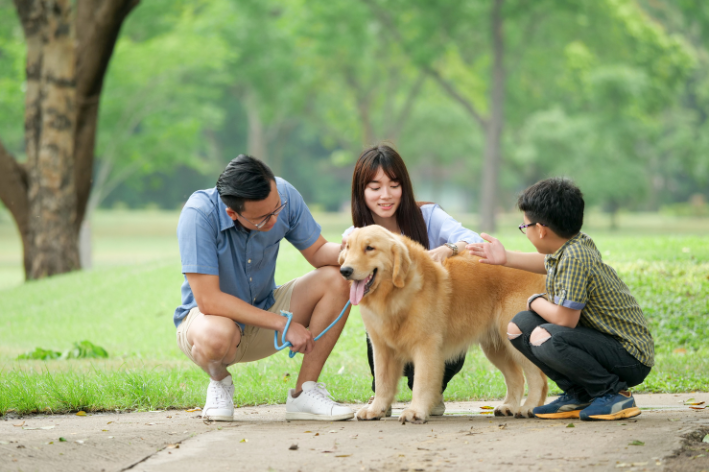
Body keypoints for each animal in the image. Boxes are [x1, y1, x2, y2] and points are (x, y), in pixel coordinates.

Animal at [340, 225, 552, 424]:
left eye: (370, 248)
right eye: (348, 247)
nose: (344, 270)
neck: (395, 294)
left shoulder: (426, 346)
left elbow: (421, 382)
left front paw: (415, 411)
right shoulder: (382, 347)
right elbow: (383, 382)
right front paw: (376, 409)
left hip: (513, 335)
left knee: (537, 377)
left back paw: (529, 407)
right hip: (495, 347)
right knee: (516, 377)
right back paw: (509, 406)